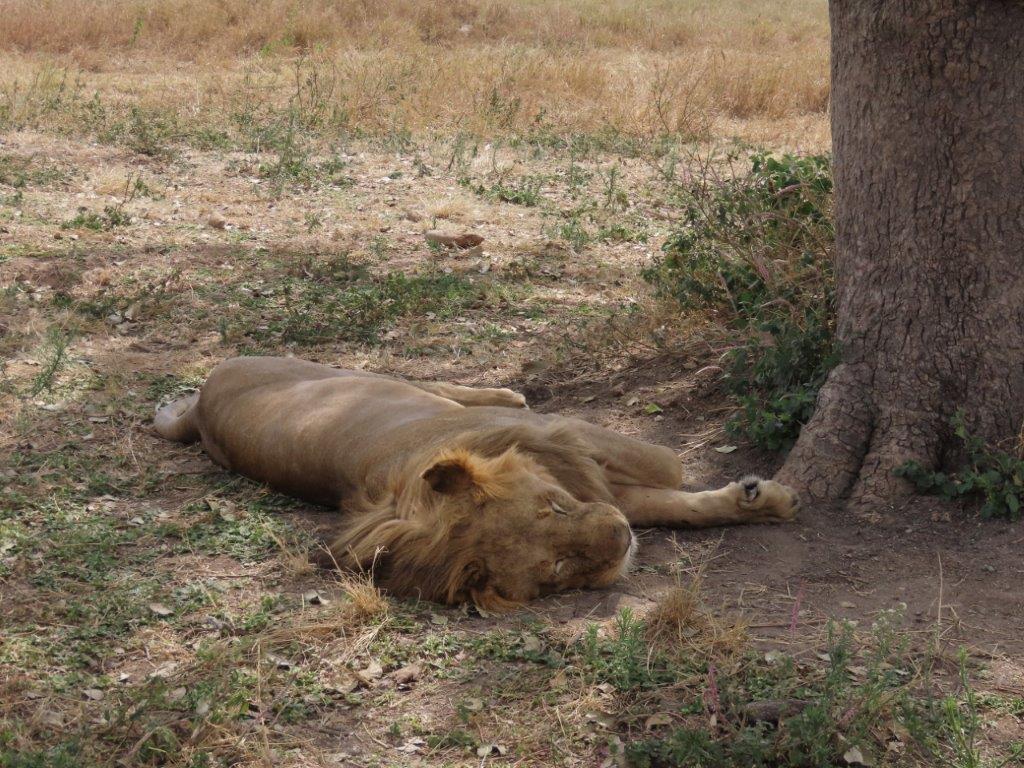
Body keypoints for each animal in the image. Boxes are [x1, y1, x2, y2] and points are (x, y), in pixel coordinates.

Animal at [155, 357, 798, 610]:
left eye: (555, 507)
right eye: (558, 569)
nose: (620, 541)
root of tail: (202, 406)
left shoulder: (578, 451)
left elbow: (675, 486)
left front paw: (766, 498)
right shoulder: (591, 464)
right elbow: (671, 480)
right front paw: (765, 495)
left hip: (339, 371)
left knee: (429, 380)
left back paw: (506, 392)